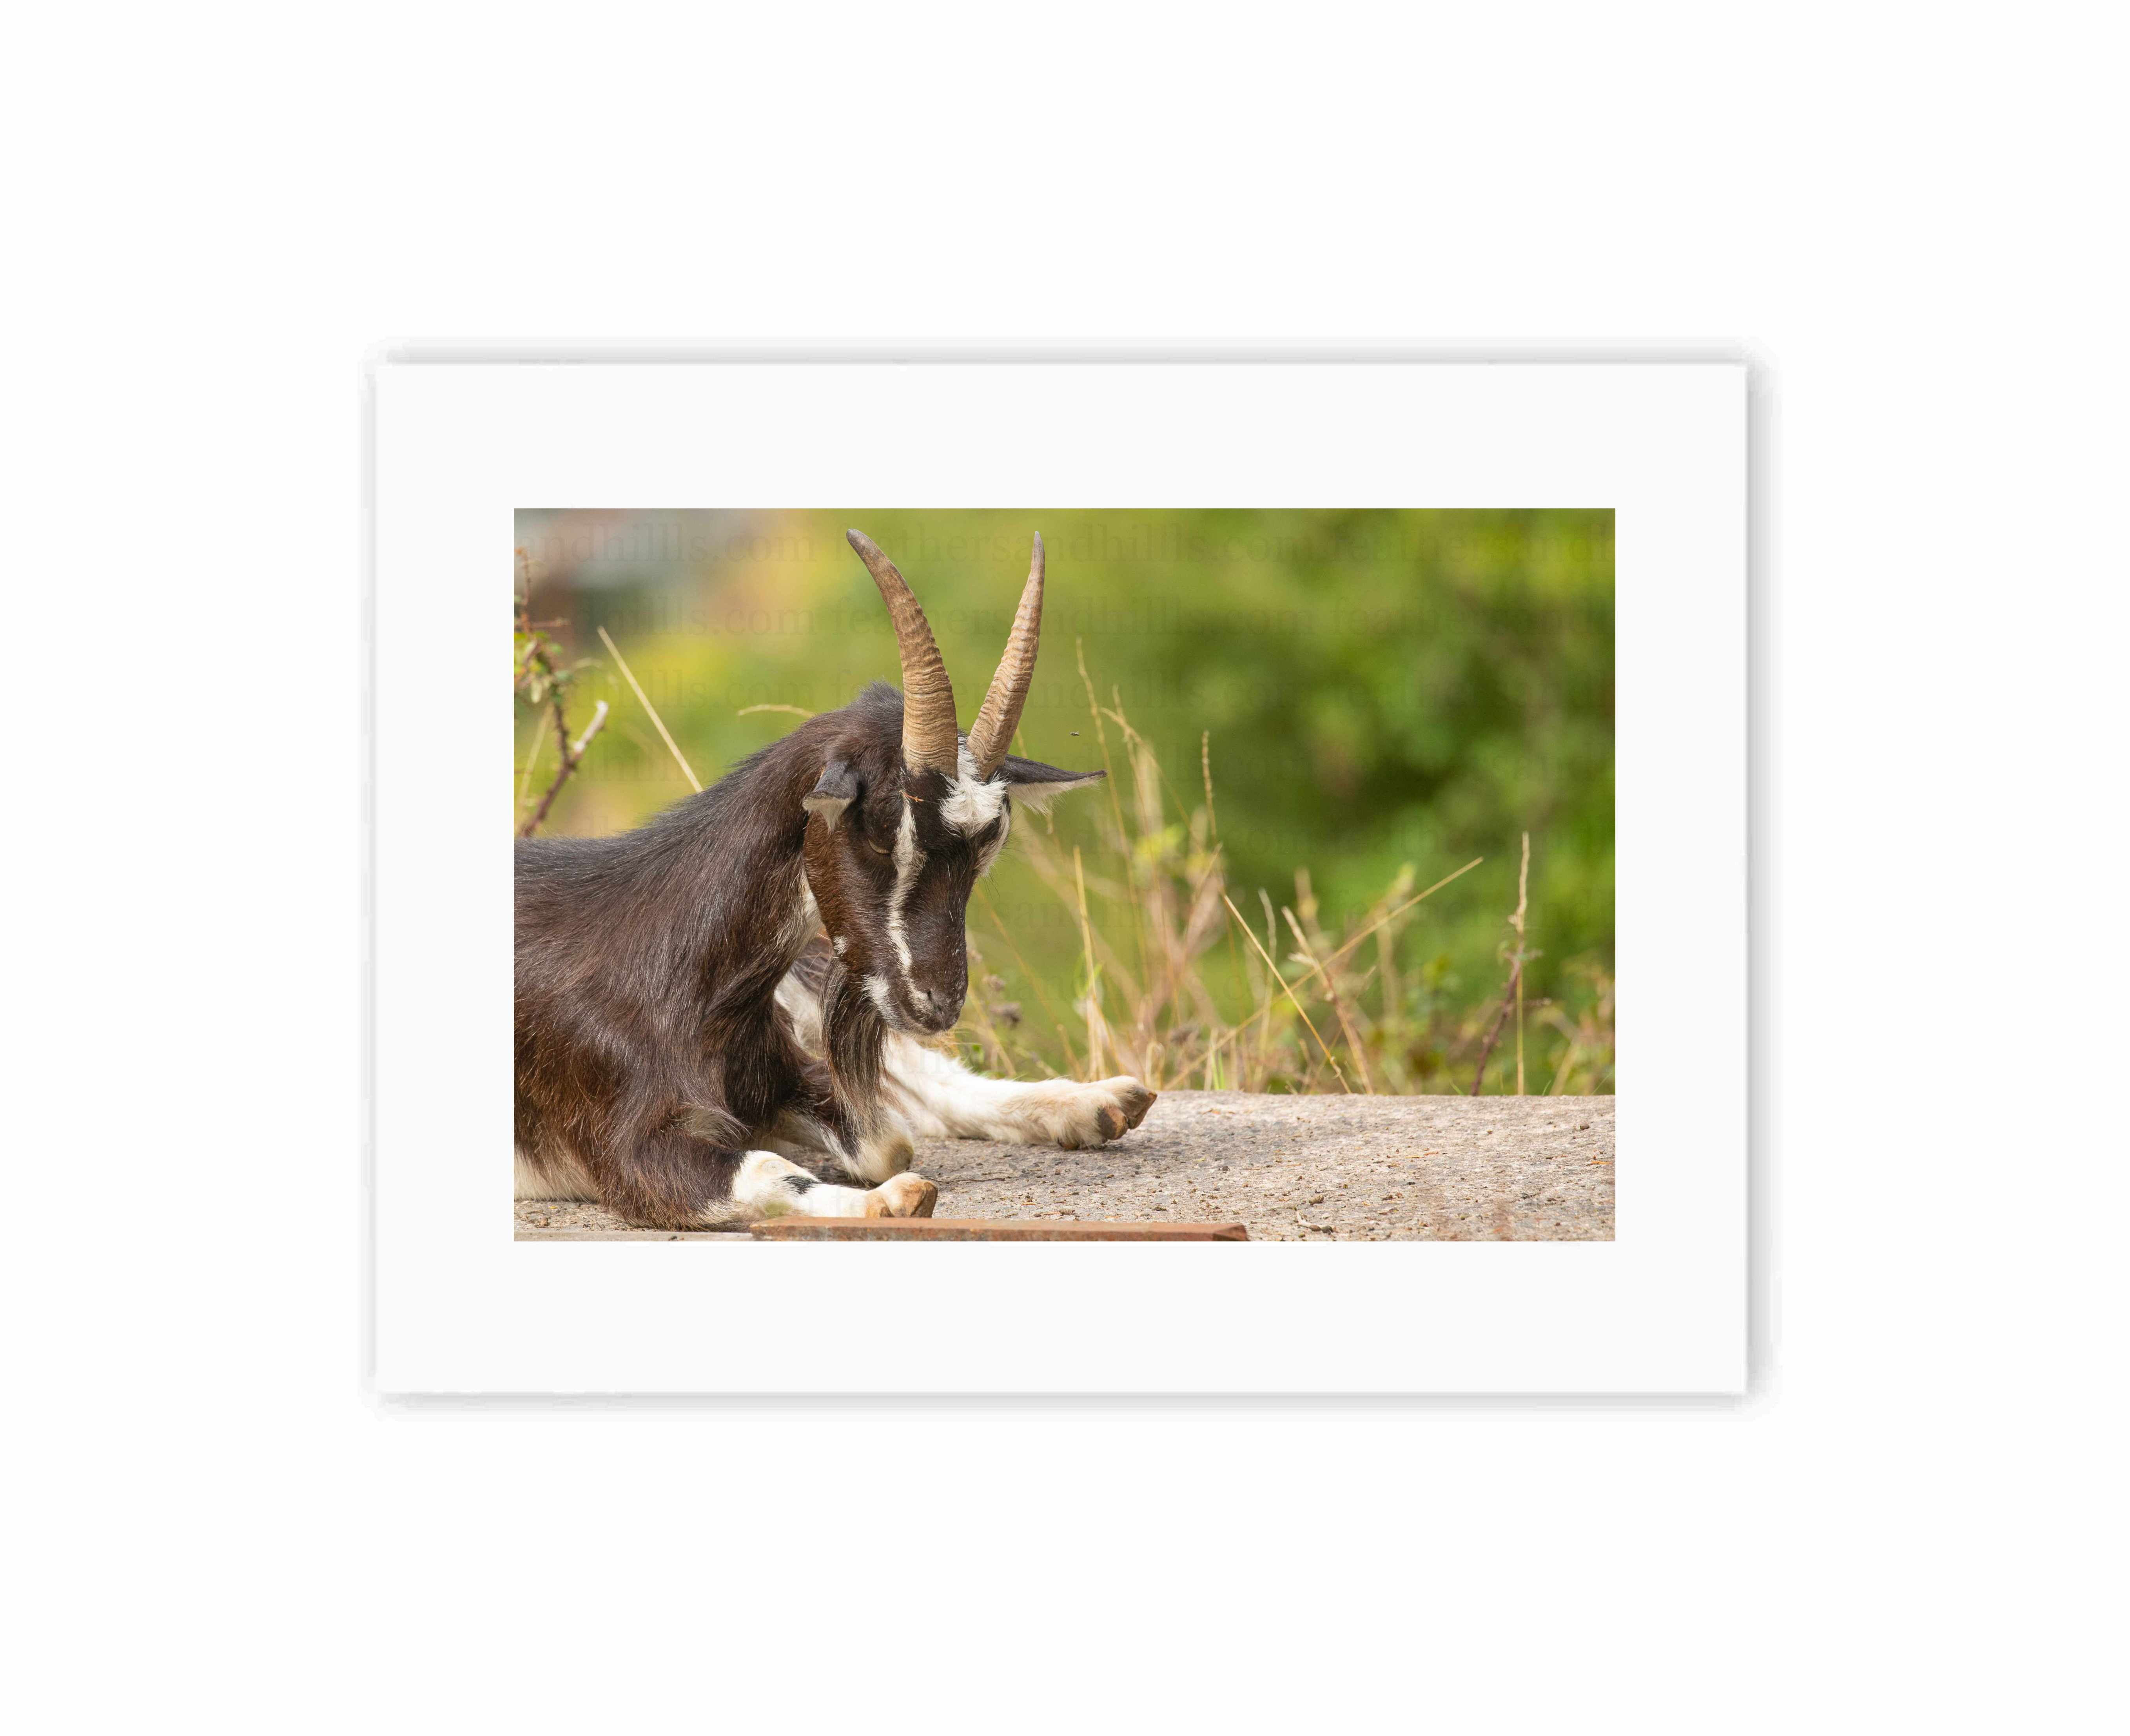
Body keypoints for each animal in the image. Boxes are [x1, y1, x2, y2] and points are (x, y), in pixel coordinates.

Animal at [514, 529, 1157, 1228]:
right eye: (878, 834)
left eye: (987, 848)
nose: (938, 1003)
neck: (672, 970)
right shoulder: (623, 1145)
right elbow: (792, 1162)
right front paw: (889, 1200)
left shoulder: (786, 1067)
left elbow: (886, 1137)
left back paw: (1096, 1103)